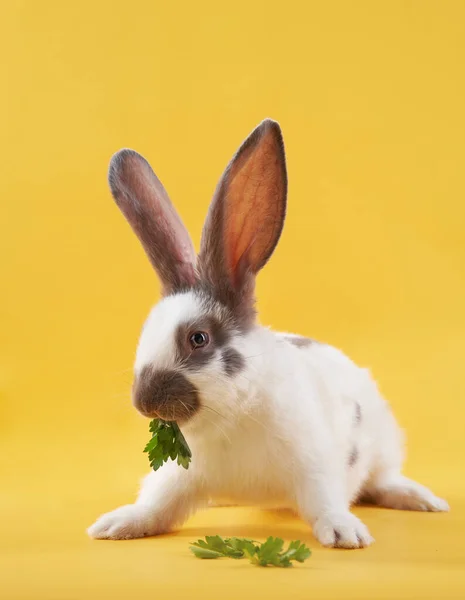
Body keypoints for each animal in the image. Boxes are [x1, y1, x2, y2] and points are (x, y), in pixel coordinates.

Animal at [86, 117, 446, 548]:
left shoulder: (315, 465)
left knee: (385, 478)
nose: (145, 402)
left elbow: (325, 501)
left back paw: (423, 500)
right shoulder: (177, 476)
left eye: (198, 338)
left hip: (385, 443)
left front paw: (346, 534)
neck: (230, 416)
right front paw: (116, 524)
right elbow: (156, 504)